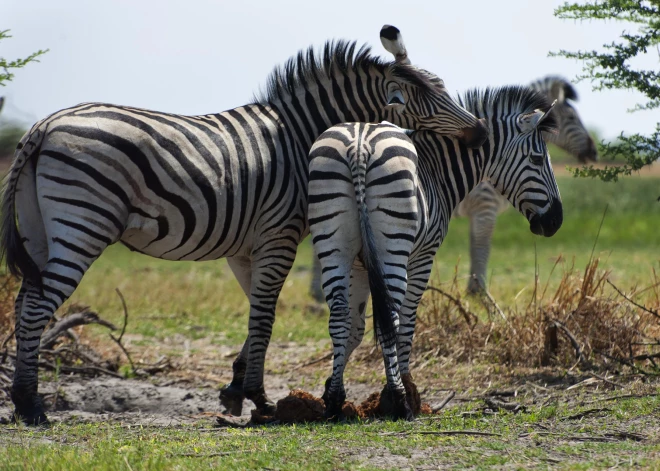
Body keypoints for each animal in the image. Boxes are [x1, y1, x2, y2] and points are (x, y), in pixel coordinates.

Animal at [0, 25, 488, 426]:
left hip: (42, 230)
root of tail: (43, 125)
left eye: (445, 89)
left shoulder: (245, 246)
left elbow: (256, 310)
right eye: (428, 101)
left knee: (25, 300)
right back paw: (31, 407)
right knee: (40, 305)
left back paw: (24, 399)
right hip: (82, 222)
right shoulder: (279, 235)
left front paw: (236, 389)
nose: (481, 132)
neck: (298, 133)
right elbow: (266, 316)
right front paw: (259, 398)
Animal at [310, 74, 600, 302]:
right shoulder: (485, 207)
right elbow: (481, 251)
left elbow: (475, 250)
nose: (594, 152)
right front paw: (482, 297)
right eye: (538, 159)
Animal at [310, 86, 564, 422]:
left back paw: (335, 404)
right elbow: (405, 324)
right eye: (537, 159)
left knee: (338, 313)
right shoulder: (423, 257)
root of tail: (359, 144)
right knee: (393, 315)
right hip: (394, 246)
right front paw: (404, 391)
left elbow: (355, 328)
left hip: (331, 241)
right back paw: (400, 401)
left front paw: (332, 389)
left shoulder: (359, 266)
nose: (556, 221)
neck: (438, 170)